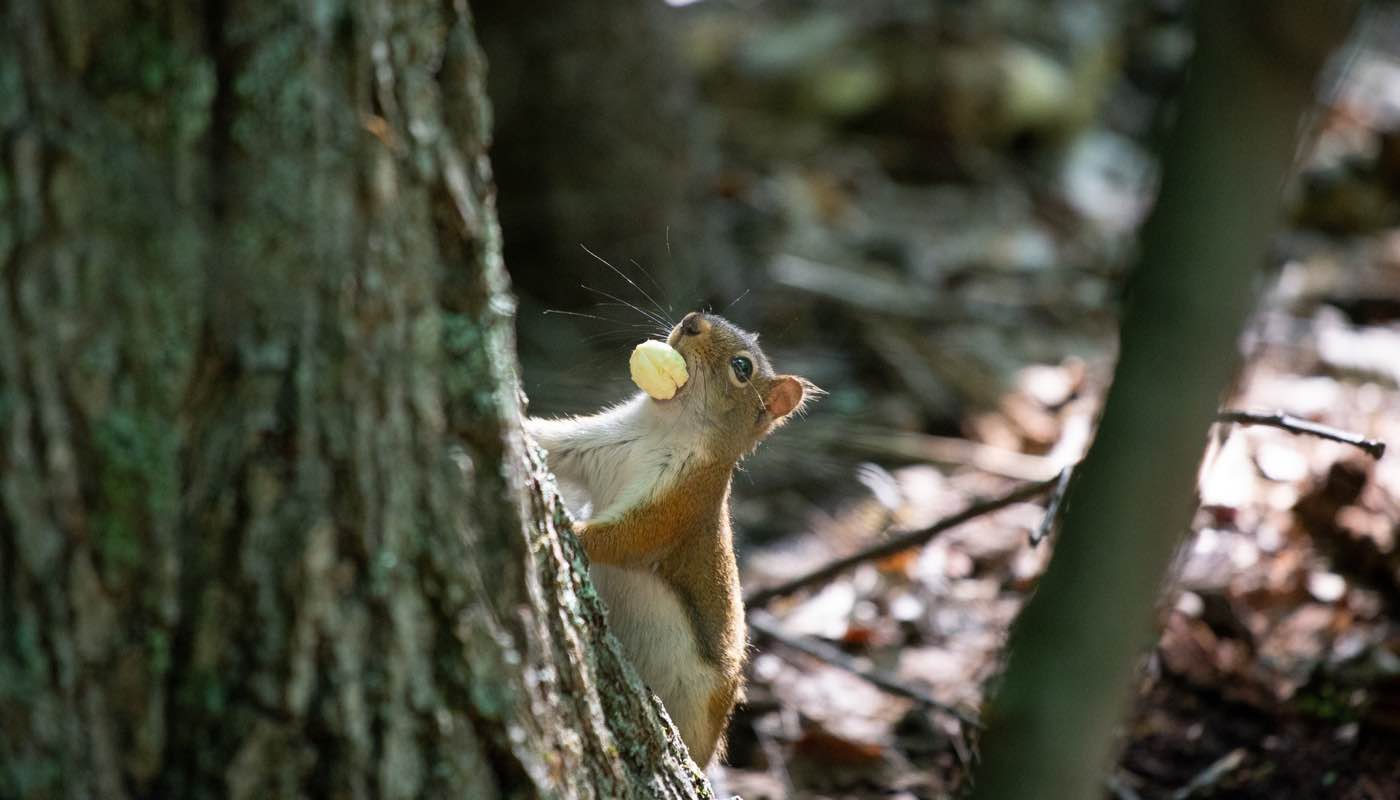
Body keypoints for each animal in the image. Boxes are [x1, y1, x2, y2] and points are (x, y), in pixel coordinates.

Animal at [526, 309, 817, 767]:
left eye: (742, 368)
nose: (692, 320)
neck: (660, 426)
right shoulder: (596, 441)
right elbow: (549, 443)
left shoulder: (679, 502)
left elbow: (630, 538)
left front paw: (570, 530)